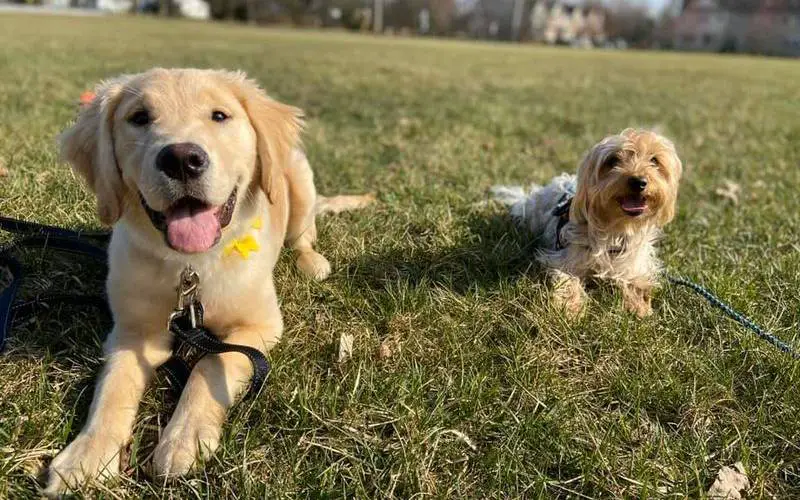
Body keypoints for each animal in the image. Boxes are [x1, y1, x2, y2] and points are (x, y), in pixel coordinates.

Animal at [47, 68, 376, 494]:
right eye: (139, 118)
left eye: (220, 116)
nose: (182, 159)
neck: (191, 267)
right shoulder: (132, 333)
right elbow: (113, 387)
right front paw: (87, 454)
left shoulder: (259, 326)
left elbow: (211, 364)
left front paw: (184, 438)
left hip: (300, 182)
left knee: (303, 235)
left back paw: (312, 262)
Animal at [494, 129, 680, 316]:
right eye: (612, 160)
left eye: (654, 160)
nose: (638, 181)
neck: (616, 229)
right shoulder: (565, 258)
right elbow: (569, 280)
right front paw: (571, 309)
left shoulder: (633, 263)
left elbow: (634, 281)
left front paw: (638, 306)